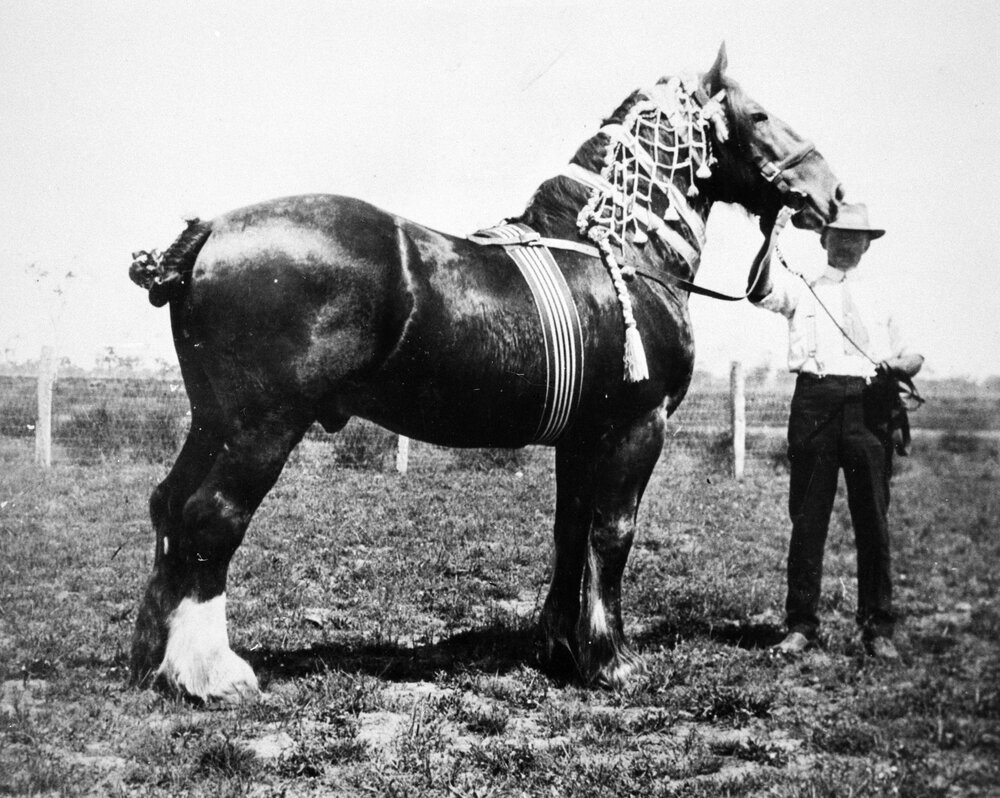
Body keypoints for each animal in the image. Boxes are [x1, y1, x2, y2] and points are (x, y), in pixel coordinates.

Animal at [128, 44, 843, 702]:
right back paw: (211, 674)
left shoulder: (582, 438)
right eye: (758, 115)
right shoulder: (636, 429)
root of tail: (210, 231)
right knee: (211, 516)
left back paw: (152, 660)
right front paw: (611, 662)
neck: (614, 253)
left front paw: (561, 649)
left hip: (213, 420)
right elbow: (612, 533)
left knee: (169, 505)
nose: (830, 191)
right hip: (262, 428)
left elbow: (569, 531)